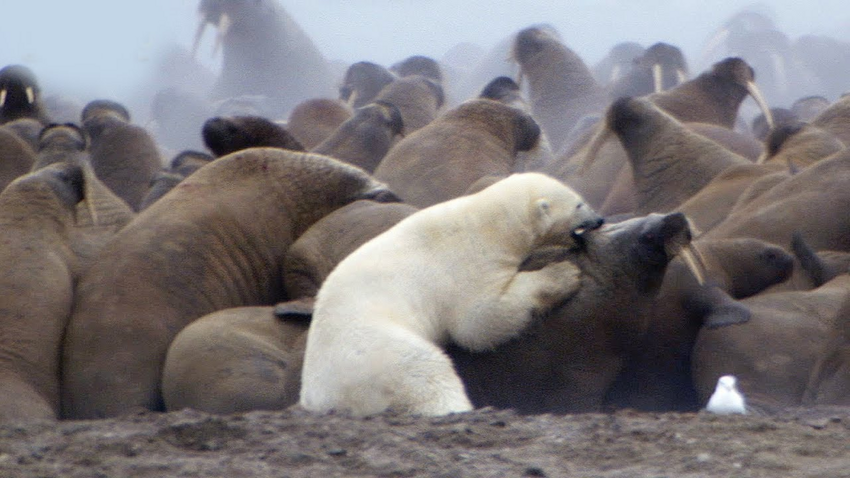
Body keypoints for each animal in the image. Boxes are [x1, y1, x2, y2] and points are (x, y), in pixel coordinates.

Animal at [300, 172, 604, 414]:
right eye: (579, 203)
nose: (599, 219)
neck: (489, 223)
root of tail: (320, 397)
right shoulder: (465, 263)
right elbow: (479, 322)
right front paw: (564, 274)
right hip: (373, 353)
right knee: (424, 371)